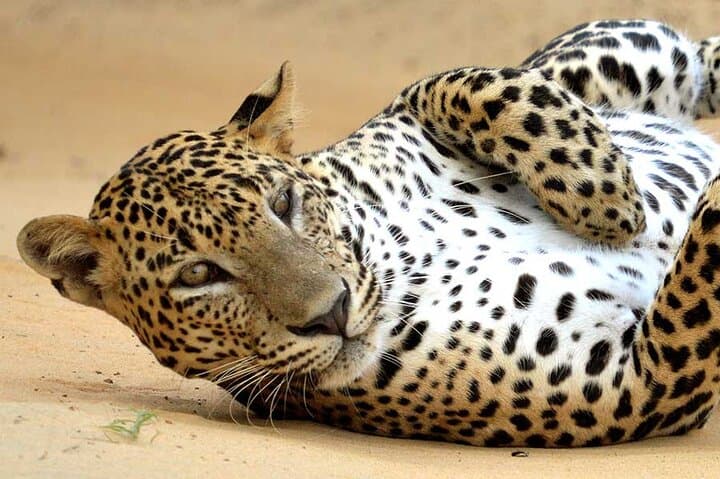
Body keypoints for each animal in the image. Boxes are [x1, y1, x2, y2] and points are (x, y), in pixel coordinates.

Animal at [16, 19, 720, 447]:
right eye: (198, 275)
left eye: (284, 202)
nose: (331, 312)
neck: (401, 250)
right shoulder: (642, 381)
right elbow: (704, 256)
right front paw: (629, 205)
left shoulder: (572, 61)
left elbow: (463, 81)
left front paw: (605, 194)